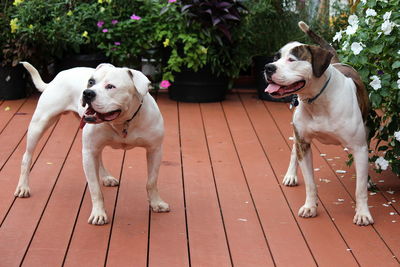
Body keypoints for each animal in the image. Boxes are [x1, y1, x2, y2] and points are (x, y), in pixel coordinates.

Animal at [14, 62, 169, 226]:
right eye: (91, 82)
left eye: (110, 86)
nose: (87, 92)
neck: (123, 122)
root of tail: (60, 74)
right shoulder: (88, 153)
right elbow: (95, 189)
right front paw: (99, 213)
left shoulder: (155, 150)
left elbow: (151, 181)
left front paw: (156, 203)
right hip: (39, 124)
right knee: (27, 157)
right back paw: (23, 187)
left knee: (99, 158)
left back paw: (106, 177)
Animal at [264, 21, 374, 226]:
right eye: (276, 58)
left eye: (292, 59)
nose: (268, 67)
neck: (317, 100)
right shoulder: (304, 144)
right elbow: (310, 183)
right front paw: (310, 207)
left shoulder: (359, 147)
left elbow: (360, 188)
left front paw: (363, 213)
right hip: (297, 135)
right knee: (294, 150)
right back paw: (291, 175)